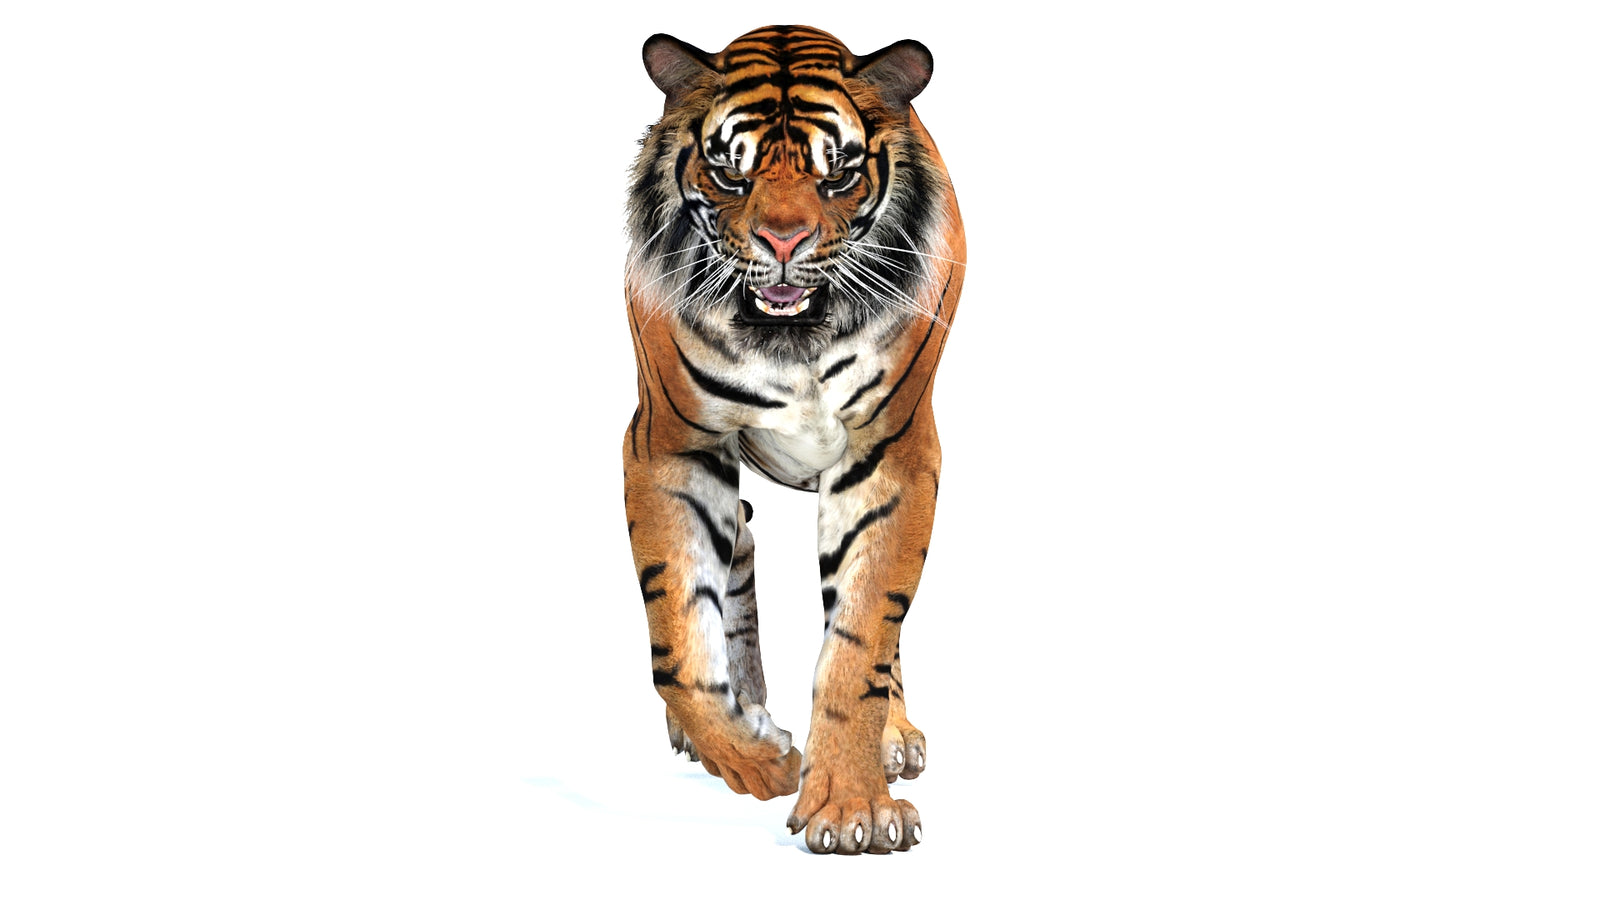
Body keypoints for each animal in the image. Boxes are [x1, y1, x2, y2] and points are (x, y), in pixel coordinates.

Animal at [622, 24, 965, 855]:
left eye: (836, 175)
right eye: (729, 174)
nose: (784, 240)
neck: (791, 337)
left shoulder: (892, 455)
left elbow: (861, 639)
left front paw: (851, 806)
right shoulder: (668, 446)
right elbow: (677, 642)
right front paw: (756, 758)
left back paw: (893, 737)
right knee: (737, 551)